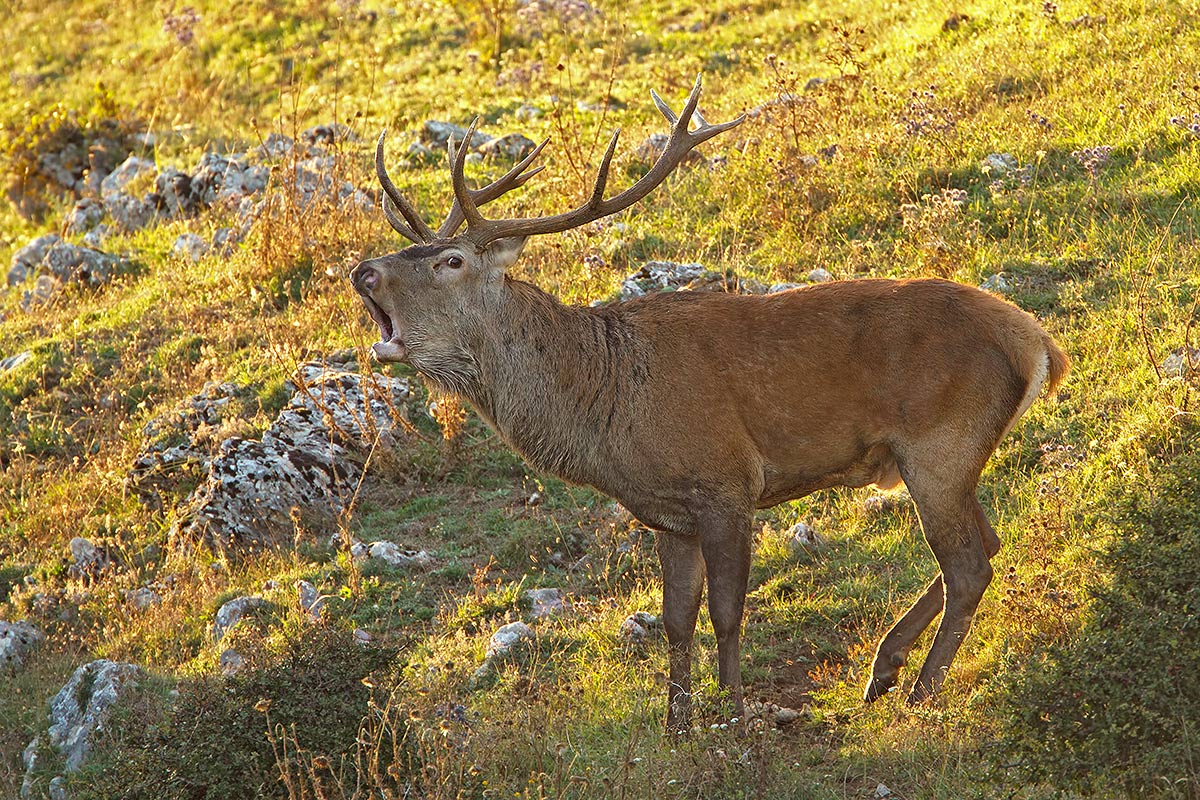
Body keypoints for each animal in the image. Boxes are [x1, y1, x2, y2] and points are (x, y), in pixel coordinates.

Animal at [349, 76, 1069, 730]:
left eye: (450, 261)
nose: (363, 270)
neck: (605, 405)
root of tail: (1038, 344)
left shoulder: (728, 481)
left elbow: (726, 612)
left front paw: (733, 716)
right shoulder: (668, 514)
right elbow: (676, 620)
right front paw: (677, 726)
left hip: (940, 442)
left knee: (968, 565)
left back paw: (919, 690)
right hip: (951, 456)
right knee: (987, 544)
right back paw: (885, 669)